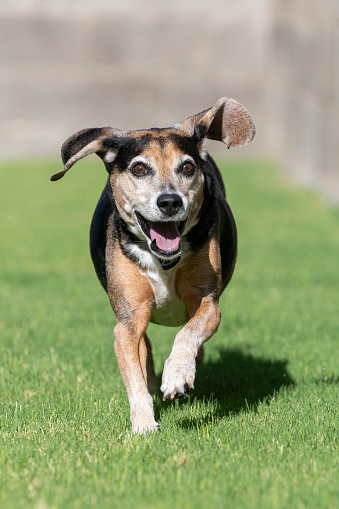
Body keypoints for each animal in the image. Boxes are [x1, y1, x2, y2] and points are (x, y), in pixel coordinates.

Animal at [51, 96, 255, 432]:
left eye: (187, 166)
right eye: (139, 168)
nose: (170, 201)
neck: (164, 261)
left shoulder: (209, 303)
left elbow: (189, 332)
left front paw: (177, 374)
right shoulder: (127, 321)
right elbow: (134, 374)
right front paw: (144, 424)